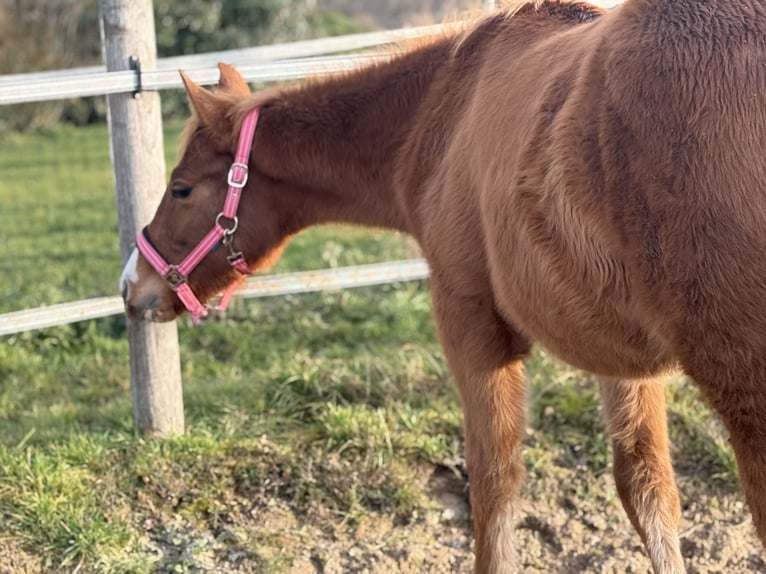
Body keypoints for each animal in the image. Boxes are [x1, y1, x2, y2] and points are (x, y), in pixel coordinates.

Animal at [120, 0, 766, 572]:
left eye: (181, 188)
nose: (133, 287)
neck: (444, 112)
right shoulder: (619, 354)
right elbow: (648, 489)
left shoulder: (469, 318)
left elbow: (493, 488)